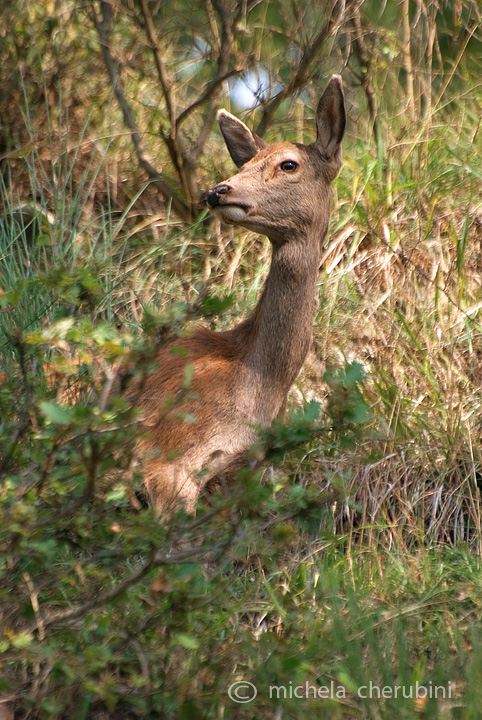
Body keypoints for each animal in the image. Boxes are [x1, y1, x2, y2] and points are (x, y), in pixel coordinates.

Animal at [127, 76, 346, 516]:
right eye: (244, 164)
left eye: (289, 164)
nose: (218, 191)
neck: (259, 384)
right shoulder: (166, 461)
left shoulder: (241, 473)